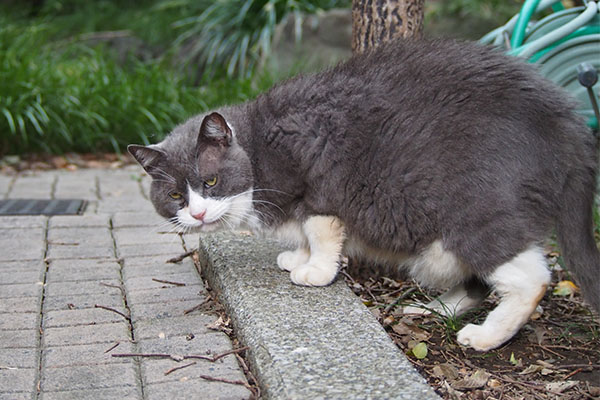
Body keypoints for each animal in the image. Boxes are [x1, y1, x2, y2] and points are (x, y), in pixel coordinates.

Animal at [127, 37, 600, 350]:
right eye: (175, 196)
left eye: (209, 182)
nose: (198, 215)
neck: (259, 145)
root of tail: (568, 122)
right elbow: (304, 234)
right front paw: (296, 257)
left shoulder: (319, 186)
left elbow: (320, 231)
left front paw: (315, 271)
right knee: (476, 282)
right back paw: (433, 311)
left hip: (475, 212)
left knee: (531, 279)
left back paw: (485, 336)